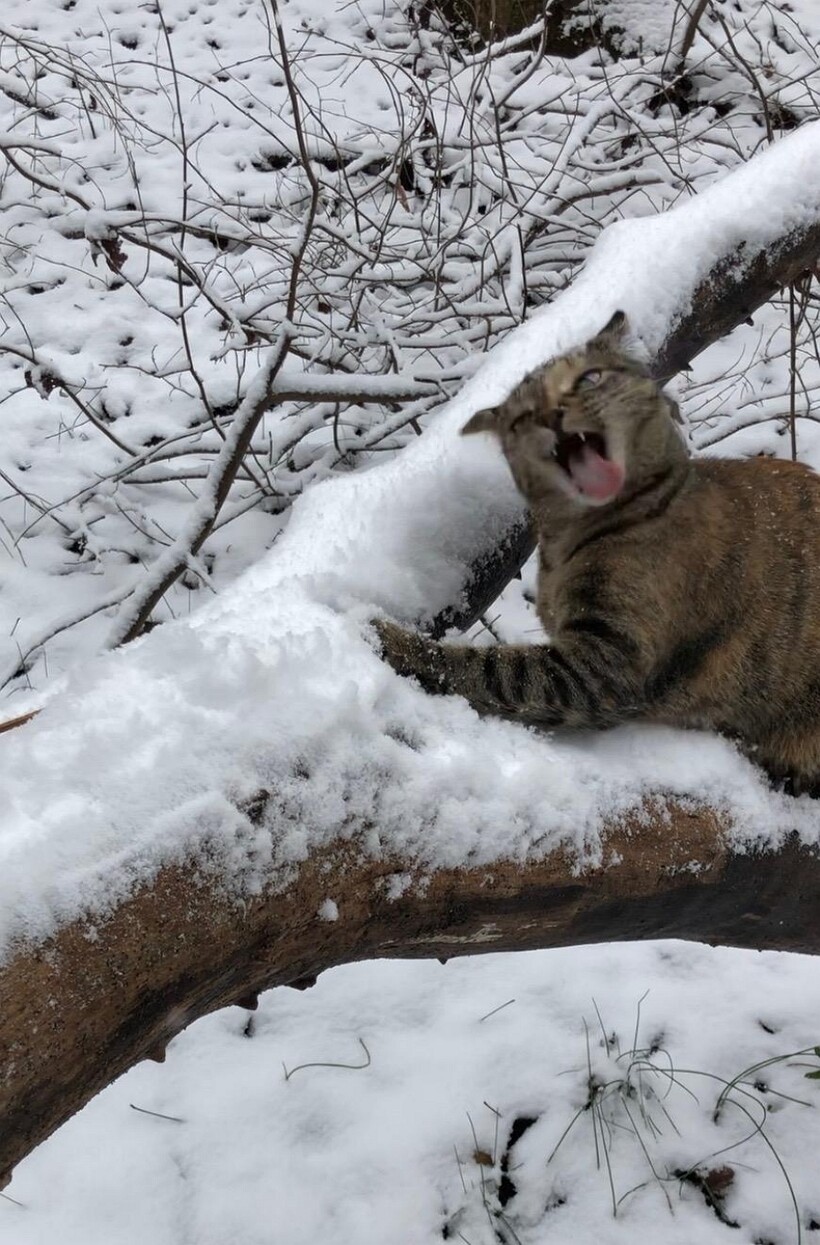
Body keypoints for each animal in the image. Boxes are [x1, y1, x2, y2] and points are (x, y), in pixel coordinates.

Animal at [375, 313, 820, 796]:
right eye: (523, 416)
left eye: (589, 378)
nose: (552, 414)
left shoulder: (606, 660)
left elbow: (492, 668)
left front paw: (390, 637)